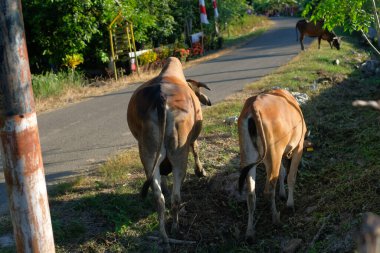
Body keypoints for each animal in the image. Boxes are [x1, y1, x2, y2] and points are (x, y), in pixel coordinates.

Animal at [127, 56, 211, 248]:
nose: (207, 101)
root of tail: (161, 99)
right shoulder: (191, 138)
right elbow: (196, 148)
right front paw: (200, 171)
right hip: (179, 156)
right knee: (175, 198)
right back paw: (175, 228)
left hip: (149, 155)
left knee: (159, 199)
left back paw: (163, 236)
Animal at [239, 89, 308, 241]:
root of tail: (254, 104)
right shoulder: (298, 147)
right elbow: (291, 176)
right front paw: (289, 204)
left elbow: (283, 172)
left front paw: (282, 194)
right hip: (274, 153)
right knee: (269, 189)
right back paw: (276, 218)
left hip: (248, 157)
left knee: (251, 195)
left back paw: (250, 232)